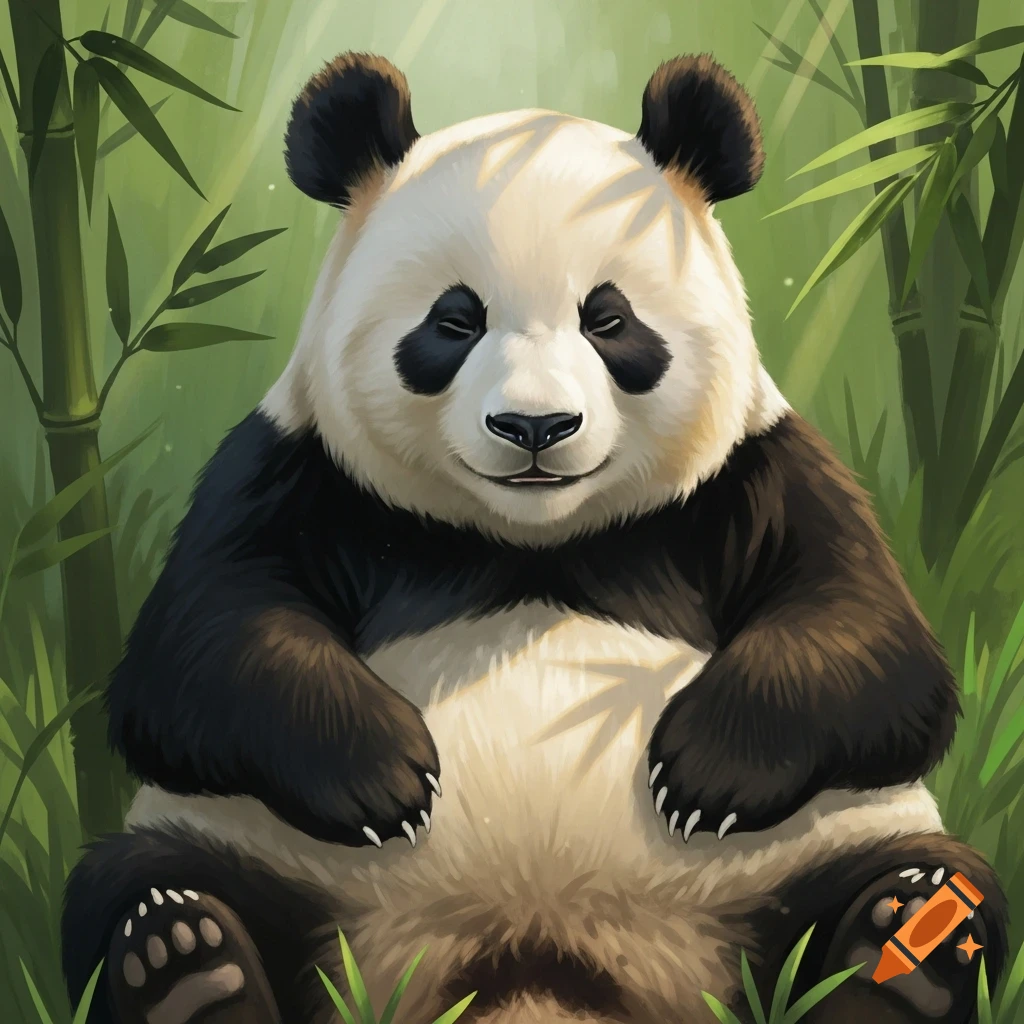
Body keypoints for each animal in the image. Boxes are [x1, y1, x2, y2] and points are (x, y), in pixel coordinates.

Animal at [62, 51, 1008, 1024]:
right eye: (454, 320)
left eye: (609, 318)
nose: (535, 427)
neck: (531, 543)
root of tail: (537, 962)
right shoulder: (294, 471)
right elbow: (197, 653)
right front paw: (386, 778)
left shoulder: (758, 471)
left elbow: (872, 643)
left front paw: (702, 772)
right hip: (260, 848)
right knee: (138, 881)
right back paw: (187, 959)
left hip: (812, 845)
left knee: (926, 878)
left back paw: (900, 949)